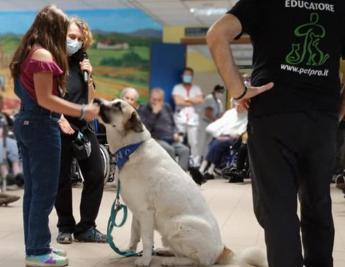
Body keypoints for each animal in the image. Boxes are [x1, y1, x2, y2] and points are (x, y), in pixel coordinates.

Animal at [94, 99, 266, 266]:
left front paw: (144, 260)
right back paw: (165, 251)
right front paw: (129, 252)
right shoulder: (137, 212)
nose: (96, 100)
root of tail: (221, 250)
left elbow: (146, 240)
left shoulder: (145, 212)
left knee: (196, 260)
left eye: (117, 105)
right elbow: (134, 235)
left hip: (175, 226)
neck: (131, 148)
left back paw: (171, 261)